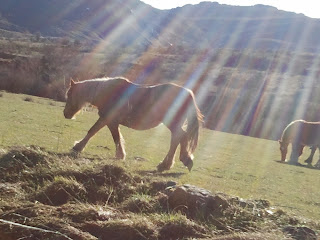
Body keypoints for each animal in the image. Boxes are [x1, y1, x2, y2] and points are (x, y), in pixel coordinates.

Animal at [63, 76, 202, 171]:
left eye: (69, 94)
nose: (66, 114)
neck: (107, 92)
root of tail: (187, 93)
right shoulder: (108, 121)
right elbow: (109, 135)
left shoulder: (109, 120)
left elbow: (101, 133)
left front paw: (78, 147)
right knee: (179, 138)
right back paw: (180, 160)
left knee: (178, 137)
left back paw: (166, 164)